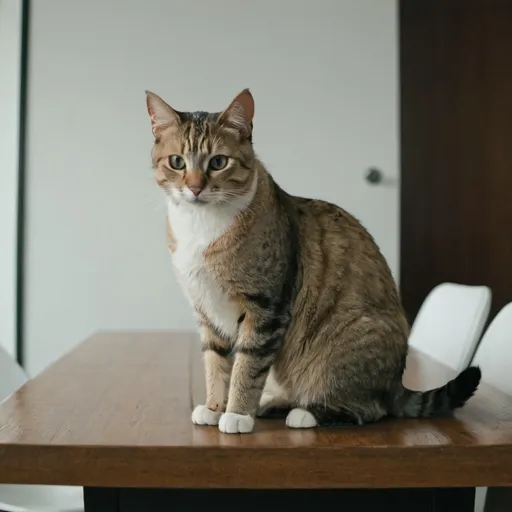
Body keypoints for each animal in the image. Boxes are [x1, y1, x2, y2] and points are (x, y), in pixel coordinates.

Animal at [146, 90, 482, 434]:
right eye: (177, 162)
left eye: (218, 162)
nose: (195, 188)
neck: (202, 225)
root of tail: (396, 385)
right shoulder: (207, 311)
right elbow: (215, 363)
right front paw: (215, 407)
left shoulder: (265, 307)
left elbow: (247, 365)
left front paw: (237, 413)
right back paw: (274, 404)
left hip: (346, 346)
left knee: (370, 409)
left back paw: (305, 413)